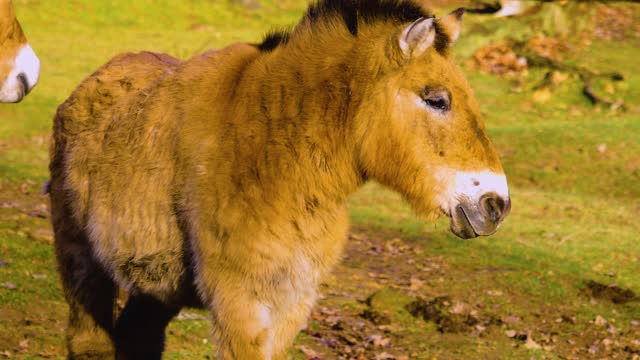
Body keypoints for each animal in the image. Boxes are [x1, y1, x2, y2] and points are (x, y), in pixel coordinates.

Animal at [48, 0, 510, 358]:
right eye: (436, 99)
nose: (496, 204)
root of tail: (91, 83)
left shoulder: (292, 301)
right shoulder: (241, 302)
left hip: (156, 287)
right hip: (82, 264)